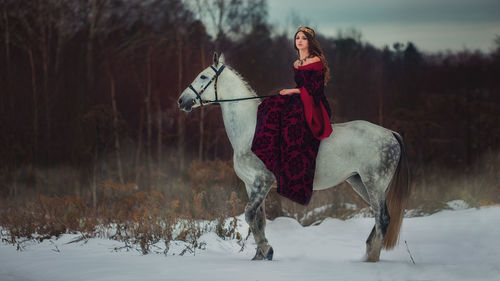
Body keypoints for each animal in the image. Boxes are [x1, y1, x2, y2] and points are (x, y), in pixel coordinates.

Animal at [179, 53, 410, 262]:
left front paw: (267, 250)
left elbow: (250, 215)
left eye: (203, 76)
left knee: (382, 218)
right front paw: (259, 257)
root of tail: (391, 134)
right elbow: (259, 220)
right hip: (360, 182)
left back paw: (372, 259)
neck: (251, 130)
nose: (182, 100)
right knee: (380, 214)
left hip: (374, 183)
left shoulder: (263, 181)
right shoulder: (250, 184)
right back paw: (368, 252)